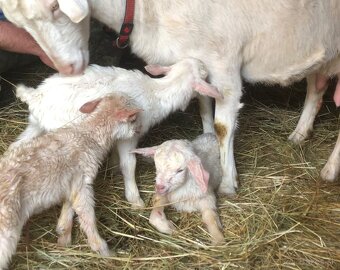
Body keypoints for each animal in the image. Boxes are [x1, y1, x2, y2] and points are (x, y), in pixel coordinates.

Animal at [0, 0, 340, 188]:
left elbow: (223, 126)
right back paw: (299, 134)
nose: (66, 67)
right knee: (316, 87)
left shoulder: (224, 62)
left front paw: (228, 183)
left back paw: (328, 170)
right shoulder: (196, 58)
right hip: (323, 51)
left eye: (55, 7)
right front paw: (205, 144)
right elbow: (203, 106)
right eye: (19, 23)